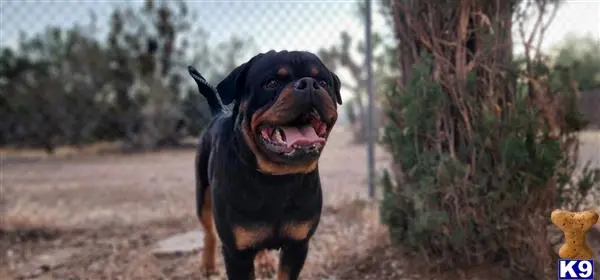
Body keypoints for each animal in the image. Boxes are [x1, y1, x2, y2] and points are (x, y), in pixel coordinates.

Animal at [189, 50, 342, 280]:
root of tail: (218, 112)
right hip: (203, 195)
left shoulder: (297, 246)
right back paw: (207, 264)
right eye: (270, 83)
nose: (308, 83)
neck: (277, 179)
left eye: (324, 82)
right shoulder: (237, 254)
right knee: (208, 231)